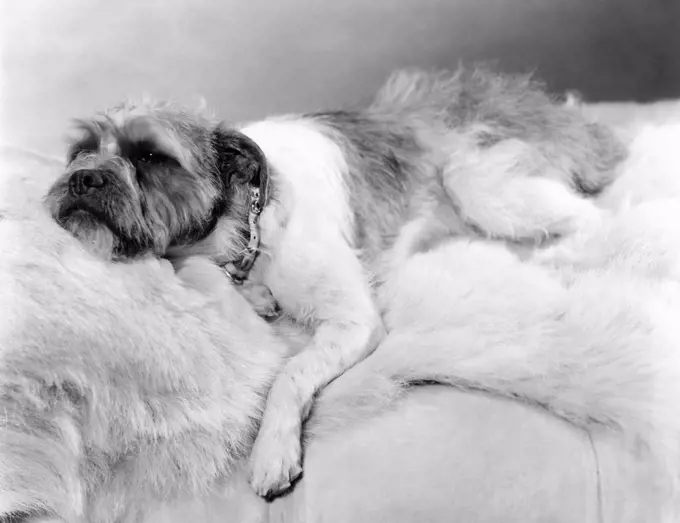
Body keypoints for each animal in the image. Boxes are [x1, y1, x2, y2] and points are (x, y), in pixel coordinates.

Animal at [43, 65, 628, 500]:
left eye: (150, 156)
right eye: (79, 151)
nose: (82, 178)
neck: (249, 220)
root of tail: (558, 110)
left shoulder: (353, 322)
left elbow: (291, 372)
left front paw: (272, 448)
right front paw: (252, 296)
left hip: (480, 182)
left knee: (593, 218)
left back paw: (559, 258)